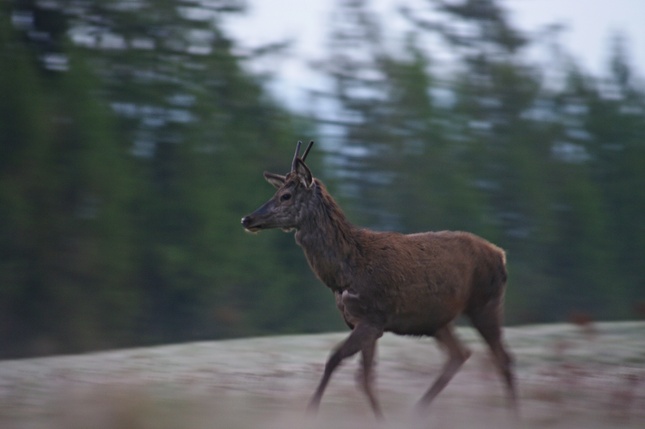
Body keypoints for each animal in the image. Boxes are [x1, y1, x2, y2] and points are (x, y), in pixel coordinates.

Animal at [239, 141, 516, 418]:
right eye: (277, 191)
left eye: (286, 195)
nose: (247, 218)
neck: (344, 274)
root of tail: (501, 256)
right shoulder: (361, 322)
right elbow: (366, 377)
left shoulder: (373, 318)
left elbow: (335, 361)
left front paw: (311, 414)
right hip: (437, 321)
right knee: (460, 354)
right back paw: (417, 412)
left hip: (484, 303)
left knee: (503, 358)